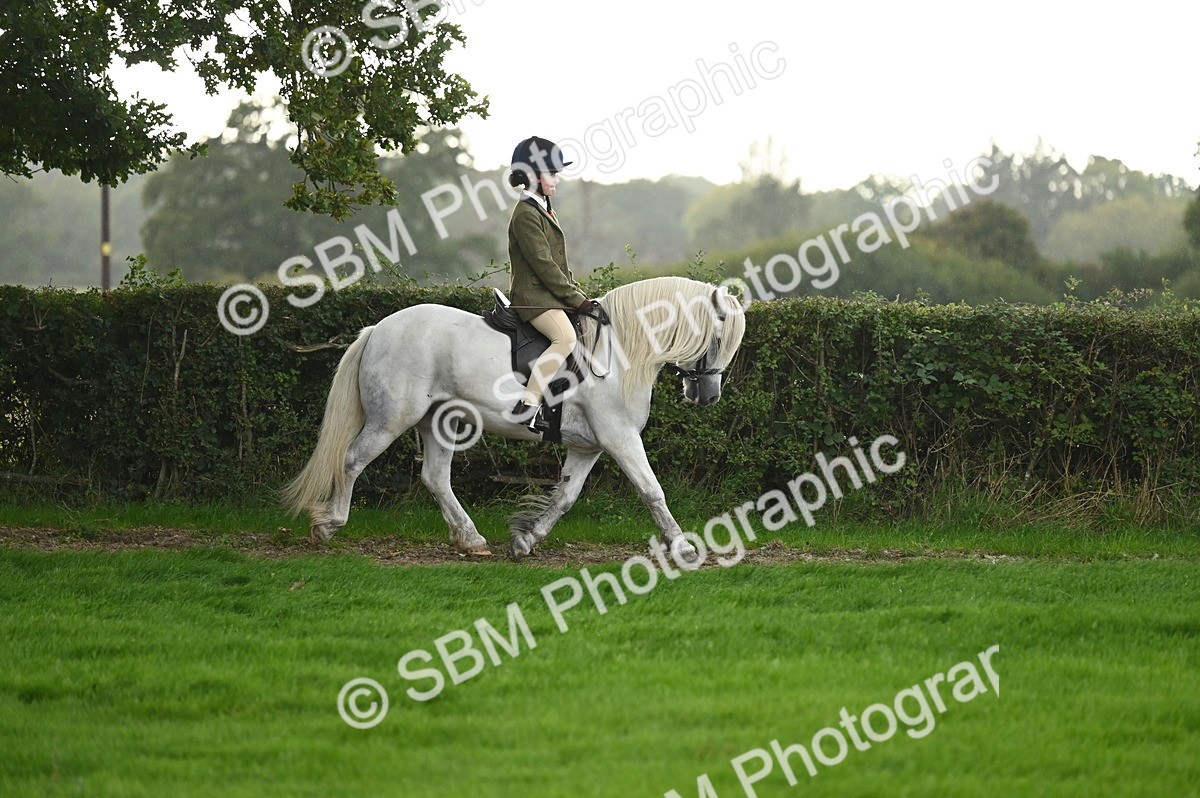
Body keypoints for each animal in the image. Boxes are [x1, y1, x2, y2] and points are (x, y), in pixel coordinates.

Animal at [282, 275, 747, 562]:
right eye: (717, 336)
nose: (707, 395)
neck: (619, 353)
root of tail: (377, 329)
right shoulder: (620, 438)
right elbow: (652, 491)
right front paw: (684, 547)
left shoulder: (589, 446)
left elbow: (565, 497)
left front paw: (526, 540)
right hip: (391, 419)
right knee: (352, 460)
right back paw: (328, 526)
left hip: (439, 421)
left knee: (435, 477)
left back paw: (471, 540)